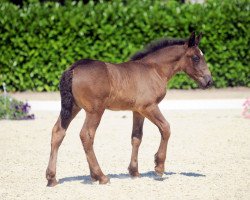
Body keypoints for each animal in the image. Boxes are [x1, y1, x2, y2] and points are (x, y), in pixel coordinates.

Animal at [45, 32, 213, 187]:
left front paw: (134, 171)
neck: (154, 70)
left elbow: (136, 137)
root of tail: (73, 68)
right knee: (86, 135)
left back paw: (52, 178)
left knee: (58, 132)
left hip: (73, 107)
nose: (209, 81)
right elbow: (165, 128)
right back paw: (101, 176)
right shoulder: (149, 106)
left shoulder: (137, 111)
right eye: (196, 58)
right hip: (95, 111)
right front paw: (159, 167)